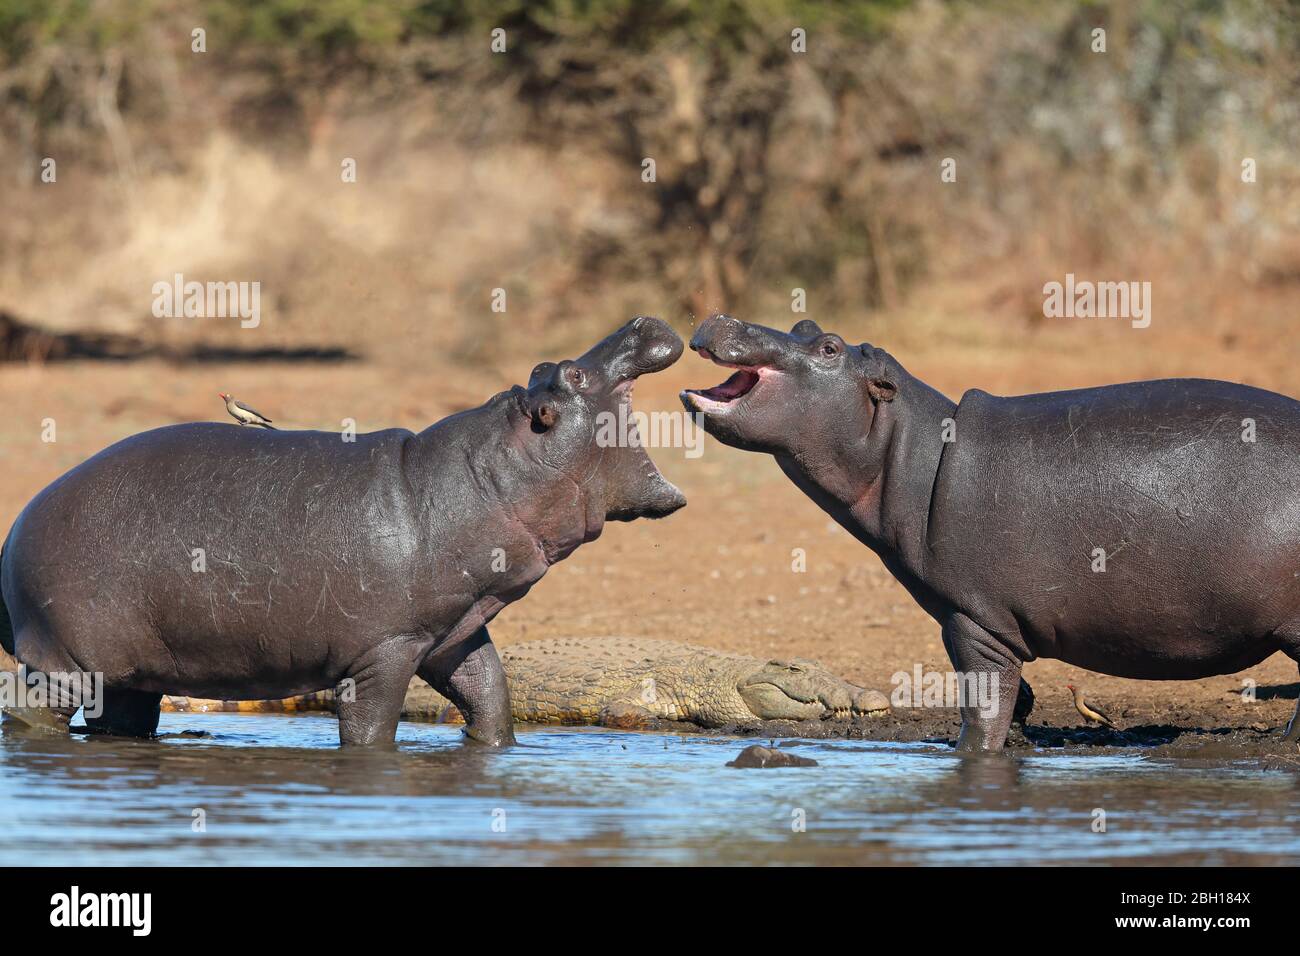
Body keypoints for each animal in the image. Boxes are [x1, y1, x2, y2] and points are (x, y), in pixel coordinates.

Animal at [0, 316, 686, 749]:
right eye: (574, 374)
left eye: (550, 366)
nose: (640, 322)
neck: (492, 477)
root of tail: (17, 526)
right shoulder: (383, 650)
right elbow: (372, 729)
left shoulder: (452, 633)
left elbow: (491, 694)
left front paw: (494, 747)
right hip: (65, 662)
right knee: (29, 712)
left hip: (133, 670)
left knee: (124, 715)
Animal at [681, 317, 1300, 749]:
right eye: (805, 325)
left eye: (829, 347)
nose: (726, 318)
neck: (910, 449)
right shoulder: (992, 624)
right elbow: (1017, 700)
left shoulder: (974, 620)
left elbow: (984, 710)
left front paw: (970, 754)